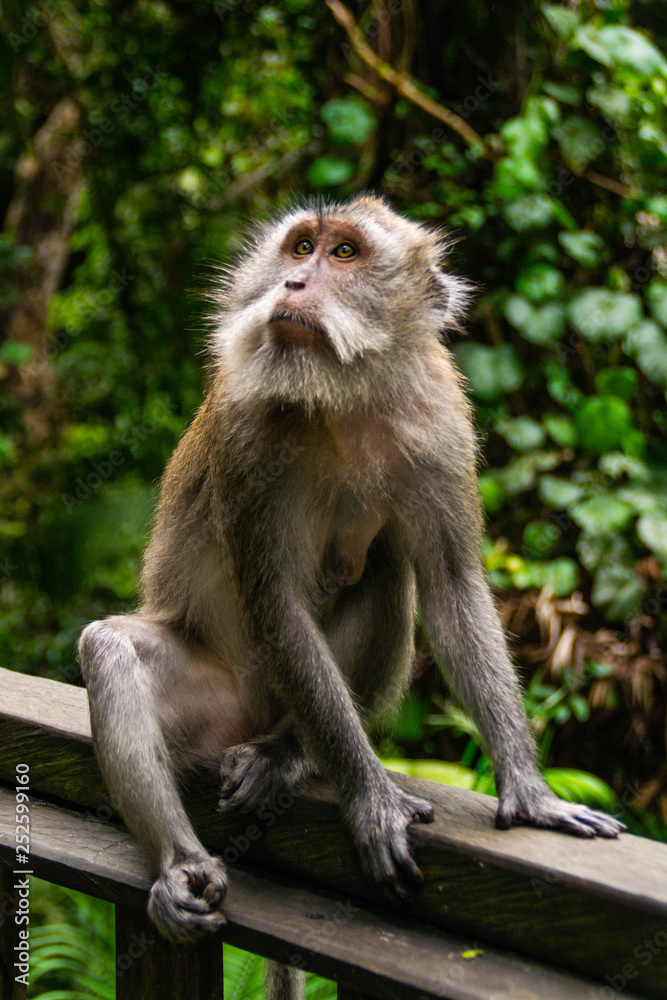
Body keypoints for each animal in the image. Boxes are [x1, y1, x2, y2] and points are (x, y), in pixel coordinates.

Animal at [79, 191, 628, 964]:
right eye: (299, 247)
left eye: (343, 254)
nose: (293, 283)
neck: (343, 395)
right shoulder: (247, 437)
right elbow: (275, 605)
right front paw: (370, 799)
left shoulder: (440, 426)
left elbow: (451, 588)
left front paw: (529, 791)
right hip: (213, 699)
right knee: (110, 647)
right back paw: (180, 865)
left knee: (388, 577)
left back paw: (284, 754)